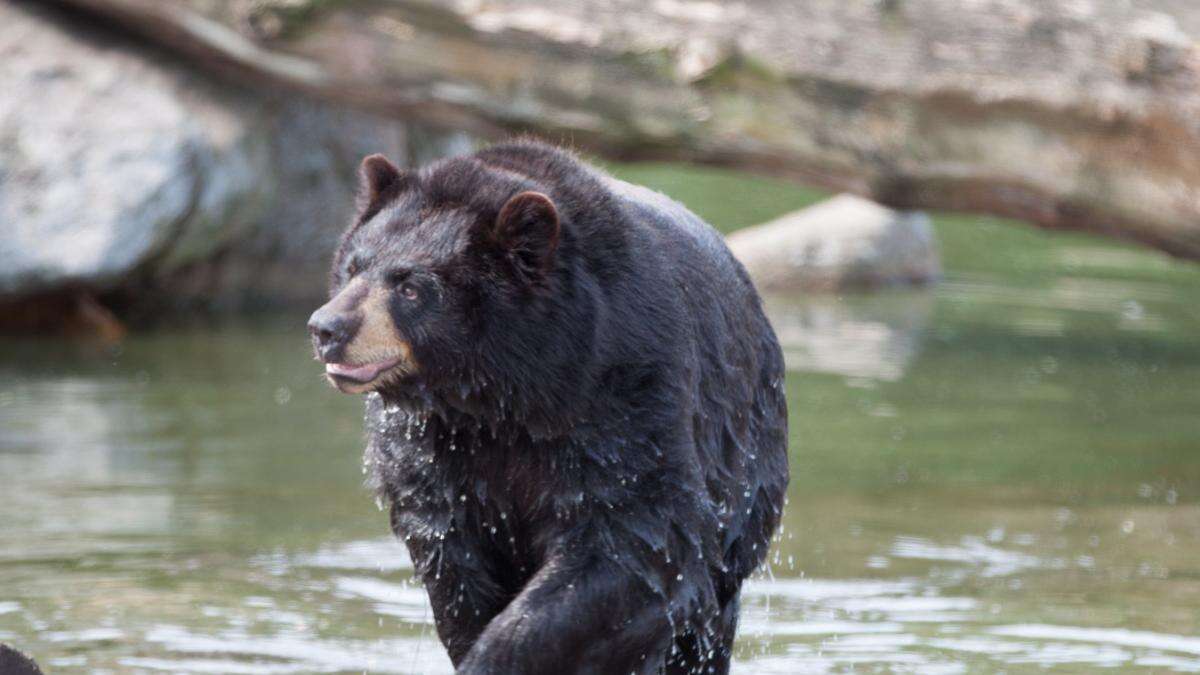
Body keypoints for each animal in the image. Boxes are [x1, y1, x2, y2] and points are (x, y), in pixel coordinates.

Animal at [309, 139, 787, 667]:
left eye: (411, 286)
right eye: (353, 266)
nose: (327, 328)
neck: (507, 391)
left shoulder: (624, 396)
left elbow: (637, 540)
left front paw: (496, 654)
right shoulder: (433, 445)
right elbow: (451, 558)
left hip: (744, 469)